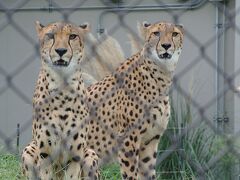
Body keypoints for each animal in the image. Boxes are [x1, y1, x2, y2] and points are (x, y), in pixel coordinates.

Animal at [20, 21, 99, 180]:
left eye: (73, 36)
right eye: (50, 35)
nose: (61, 50)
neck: (62, 88)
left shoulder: (75, 156)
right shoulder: (45, 154)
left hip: (90, 154)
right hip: (29, 150)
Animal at [86, 21, 184, 179]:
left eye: (174, 34)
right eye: (156, 33)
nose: (166, 45)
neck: (161, 75)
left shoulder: (150, 140)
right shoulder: (128, 139)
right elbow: (130, 173)